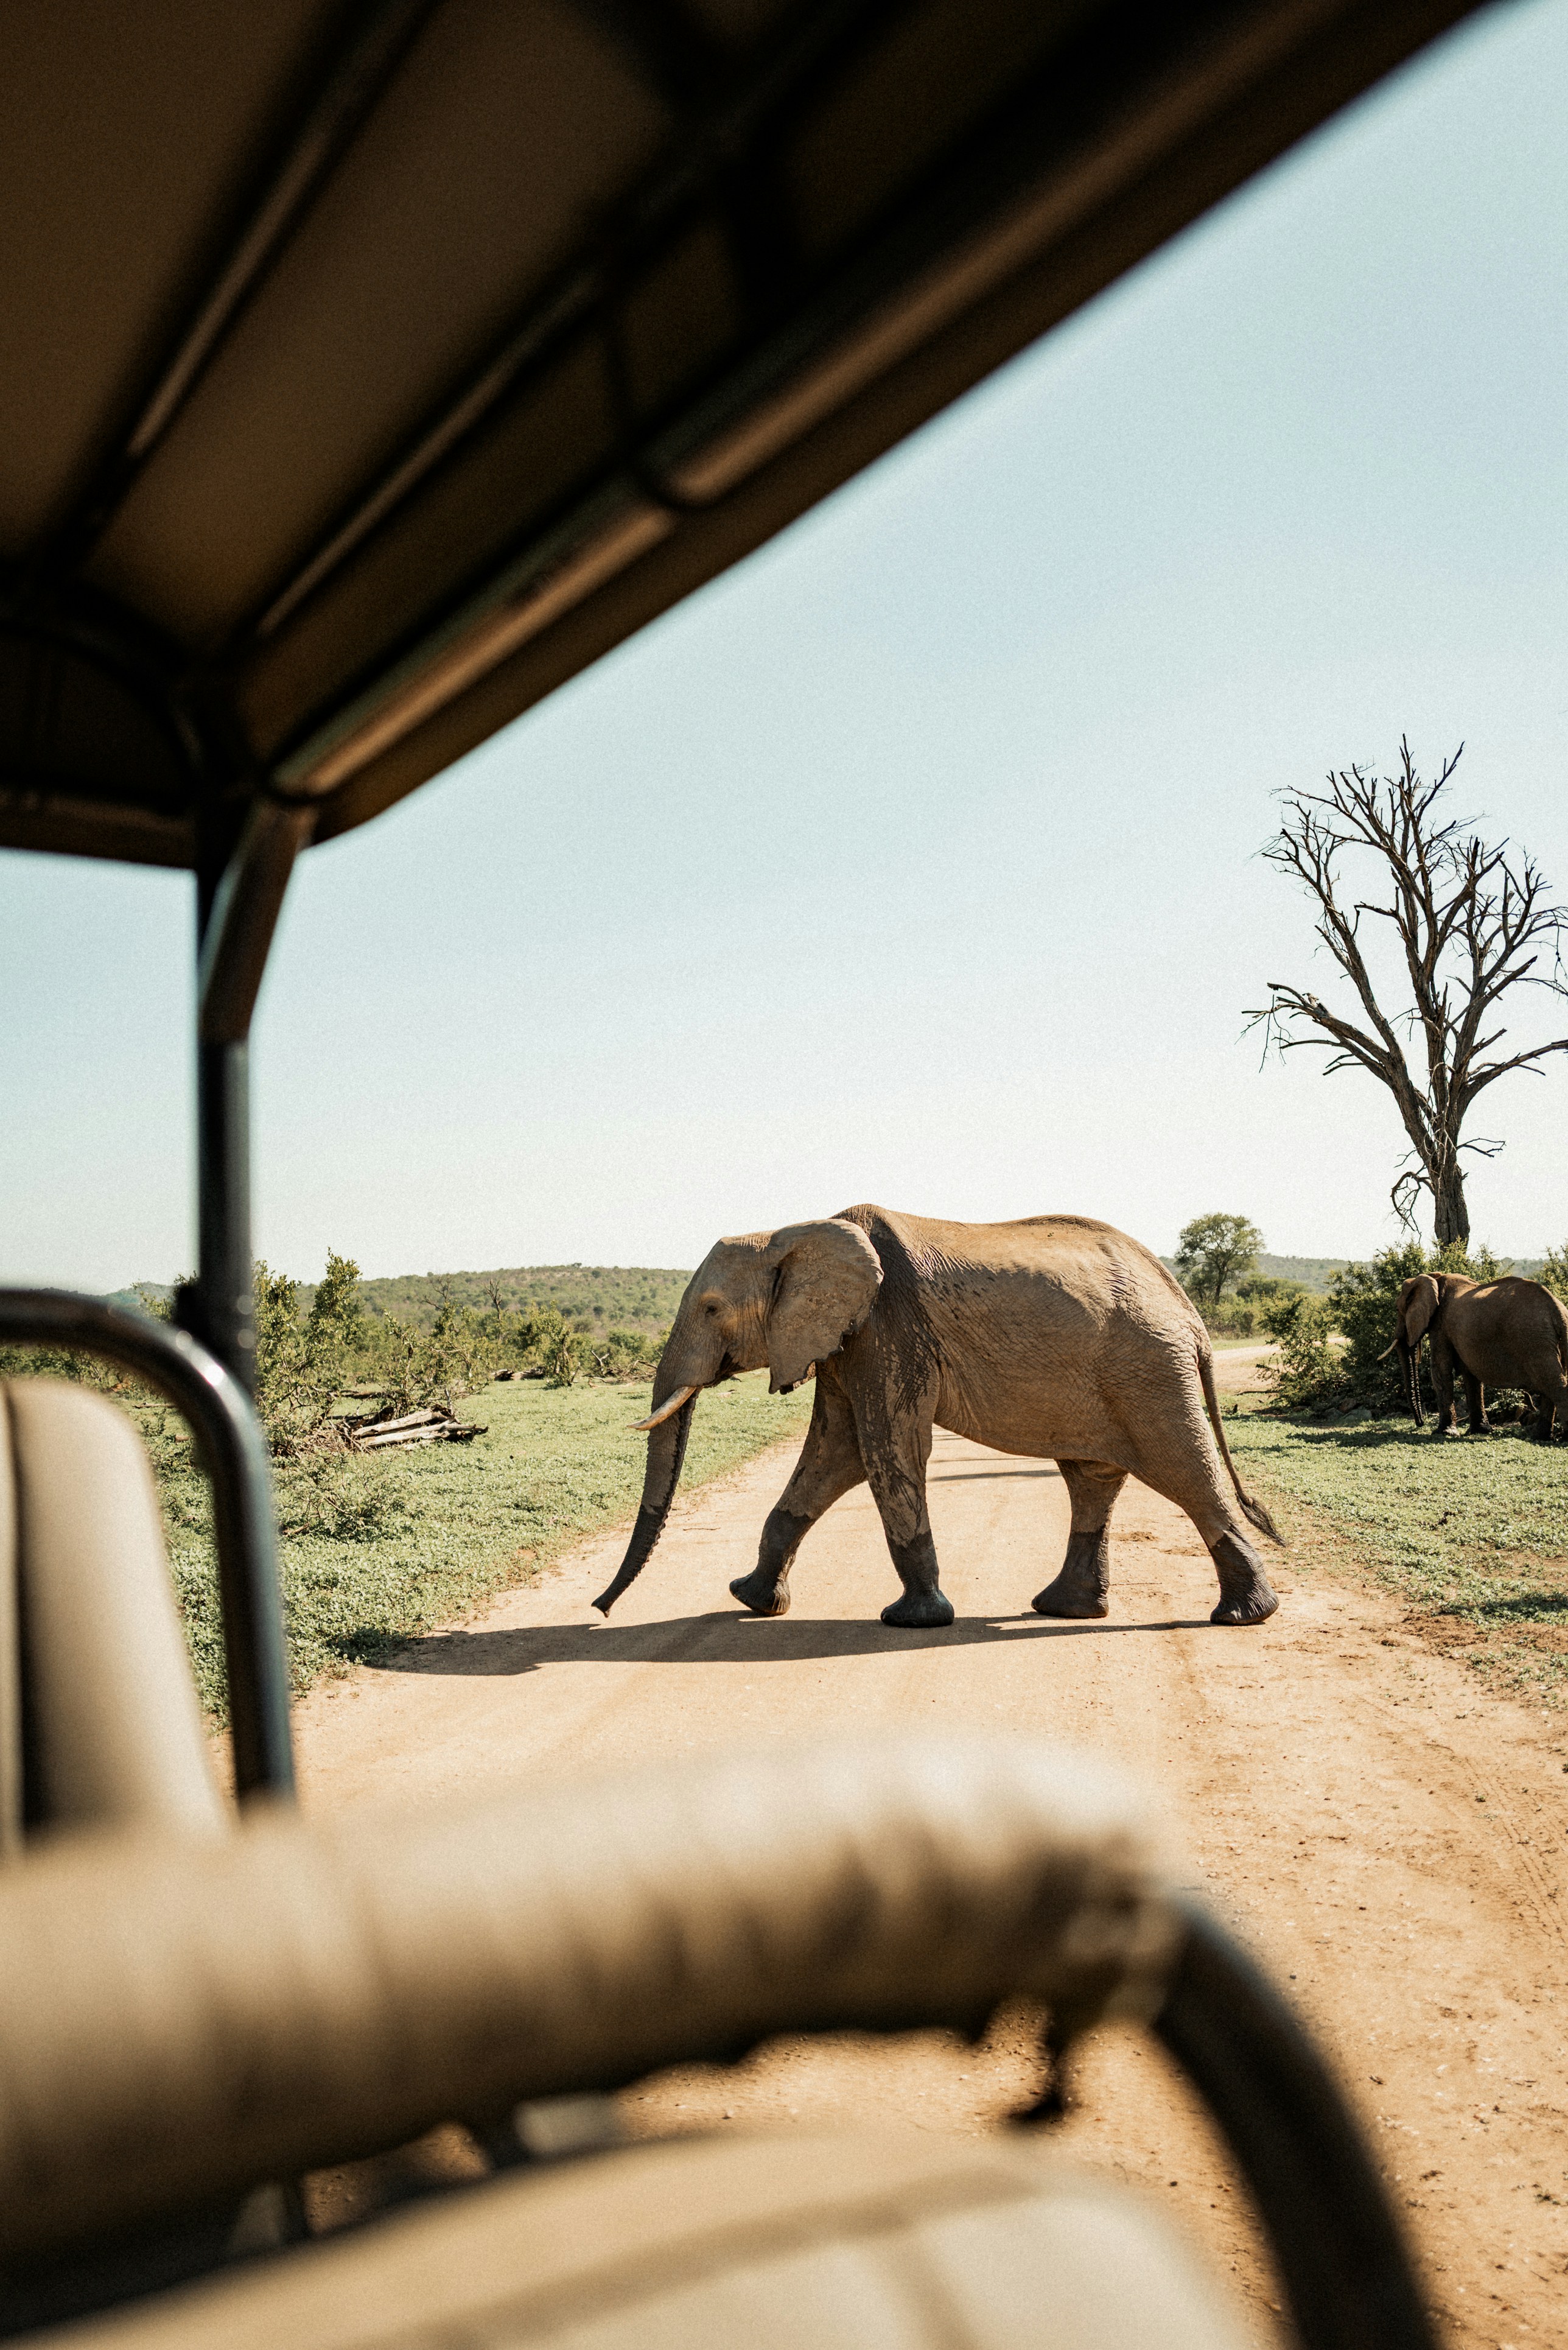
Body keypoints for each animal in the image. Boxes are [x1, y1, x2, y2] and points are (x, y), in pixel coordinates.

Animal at [592, 1205, 1282, 1631]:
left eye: (711, 1308)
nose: (599, 1608)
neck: (792, 1230)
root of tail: (1190, 1314)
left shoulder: (886, 1327)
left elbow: (887, 1448)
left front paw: (912, 1619)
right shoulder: (847, 1340)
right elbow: (833, 1454)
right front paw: (751, 1599)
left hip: (1149, 1369)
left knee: (1184, 1471)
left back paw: (1243, 1616)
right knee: (1092, 1478)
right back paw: (1064, 1609)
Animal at [1385, 1272, 1568, 1439]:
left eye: (1397, 1309)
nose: (1420, 1423)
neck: (1434, 1277)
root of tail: (1557, 1309)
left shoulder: (1440, 1325)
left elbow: (1441, 1369)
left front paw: (1443, 1433)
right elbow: (1470, 1375)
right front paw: (1481, 1431)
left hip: (1533, 1339)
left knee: (1553, 1382)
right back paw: (1540, 1437)